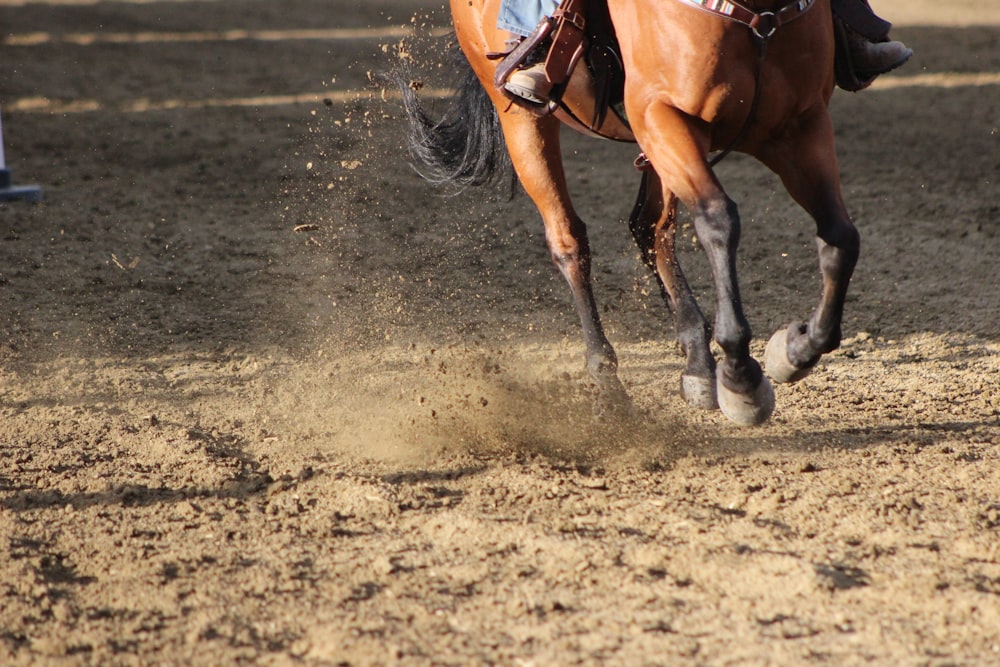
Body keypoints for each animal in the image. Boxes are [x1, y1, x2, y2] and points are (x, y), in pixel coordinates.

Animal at [398, 0, 860, 426]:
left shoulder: (801, 126)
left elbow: (841, 238)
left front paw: (794, 350)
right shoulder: (666, 116)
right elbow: (718, 221)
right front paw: (742, 379)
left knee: (649, 228)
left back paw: (697, 364)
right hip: (528, 123)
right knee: (570, 240)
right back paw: (609, 383)